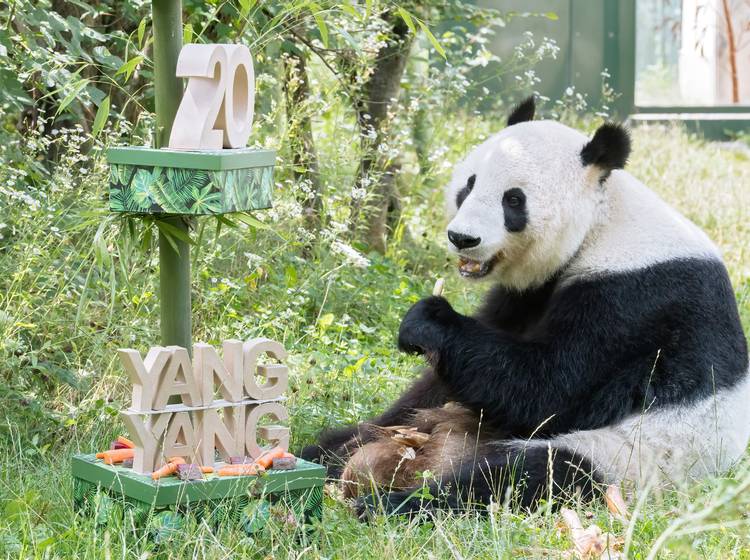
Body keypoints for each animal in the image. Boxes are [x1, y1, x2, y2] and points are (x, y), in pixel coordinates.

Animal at [301, 97, 750, 516]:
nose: (462, 238)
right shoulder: (529, 294)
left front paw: (428, 321)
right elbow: (460, 373)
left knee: (523, 478)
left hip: (629, 456)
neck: (601, 221)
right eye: (469, 184)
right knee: (370, 434)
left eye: (513, 200)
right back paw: (312, 459)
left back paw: (395, 504)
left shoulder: (636, 295)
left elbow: (549, 387)